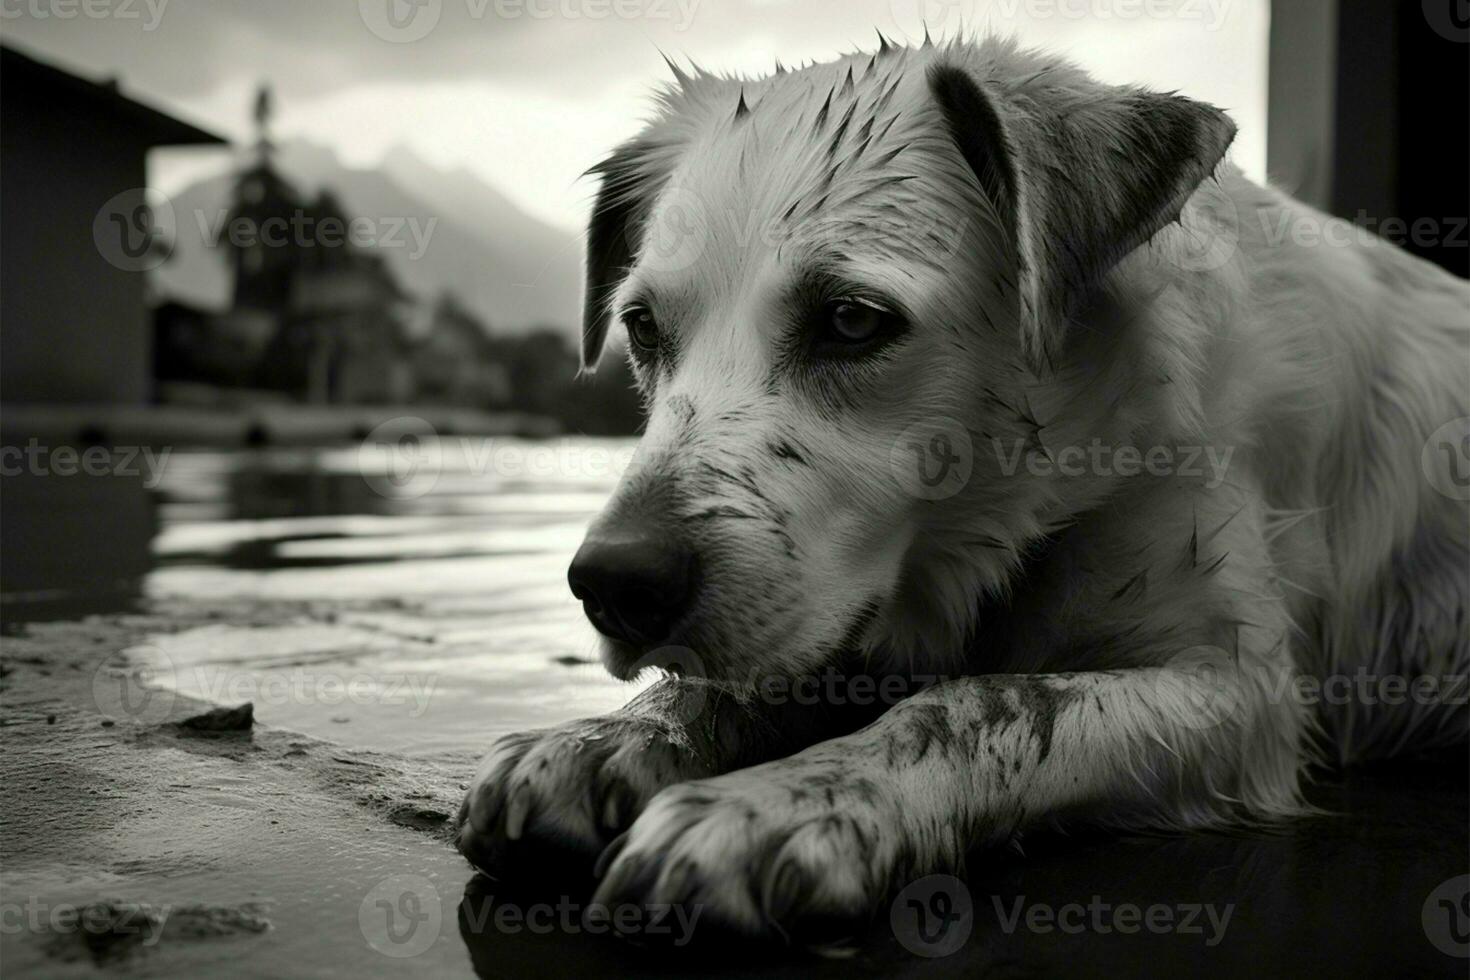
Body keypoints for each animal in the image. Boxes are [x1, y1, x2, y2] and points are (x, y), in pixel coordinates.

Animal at [452, 34, 1464, 940]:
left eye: (852, 320)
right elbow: (730, 686)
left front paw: (788, 800)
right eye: (642, 327)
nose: (615, 584)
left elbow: (978, 701)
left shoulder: (1242, 695)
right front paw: (602, 739)